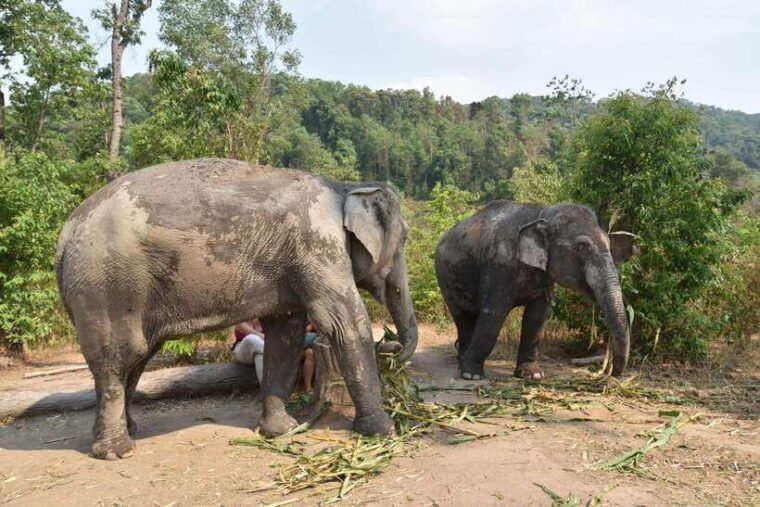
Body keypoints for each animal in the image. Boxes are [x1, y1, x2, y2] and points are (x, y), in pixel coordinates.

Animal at [55, 158, 418, 460]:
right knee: (118, 358)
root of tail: (65, 235)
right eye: (404, 239)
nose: (392, 346)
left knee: (138, 357)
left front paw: (282, 431)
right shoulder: (317, 245)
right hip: (107, 286)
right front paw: (385, 431)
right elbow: (344, 322)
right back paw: (117, 451)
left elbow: (286, 334)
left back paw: (126, 431)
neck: (343, 187)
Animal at [434, 201, 635, 380]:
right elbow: (494, 313)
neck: (542, 213)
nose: (611, 374)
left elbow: (537, 316)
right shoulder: (499, 264)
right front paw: (472, 375)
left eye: (609, 246)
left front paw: (533, 375)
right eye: (581, 247)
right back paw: (464, 367)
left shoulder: (543, 276)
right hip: (445, 277)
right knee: (462, 316)